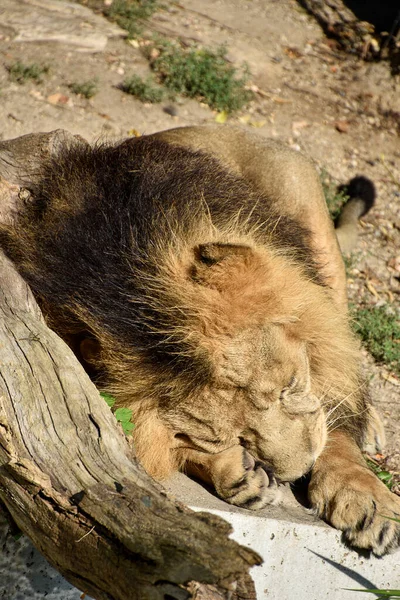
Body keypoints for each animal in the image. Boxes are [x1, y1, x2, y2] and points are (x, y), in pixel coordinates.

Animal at [1, 126, 398, 556]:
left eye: (288, 387)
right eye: (232, 436)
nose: (301, 471)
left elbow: (335, 425)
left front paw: (367, 498)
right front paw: (235, 470)